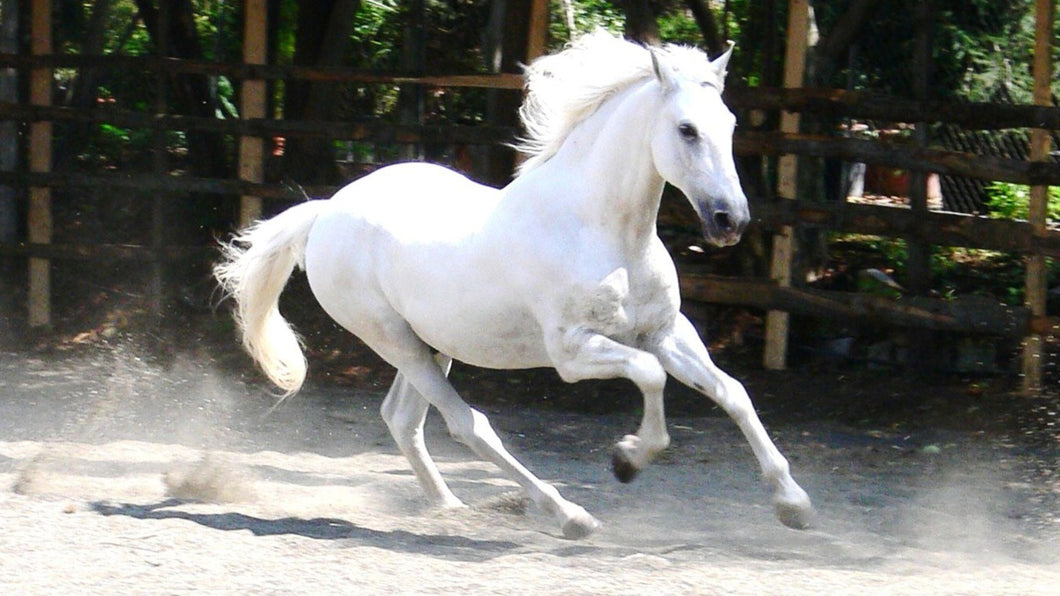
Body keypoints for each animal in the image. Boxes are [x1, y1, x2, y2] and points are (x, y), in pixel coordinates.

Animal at [215, 31, 813, 539]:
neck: (606, 233)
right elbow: (650, 376)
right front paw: (628, 459)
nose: (729, 220)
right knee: (467, 425)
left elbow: (733, 392)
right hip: (392, 339)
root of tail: (326, 211)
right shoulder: (572, 351)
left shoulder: (666, 332)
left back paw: (449, 505)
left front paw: (794, 505)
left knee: (404, 419)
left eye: (730, 124)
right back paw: (568, 515)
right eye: (686, 129)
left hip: (434, 343)